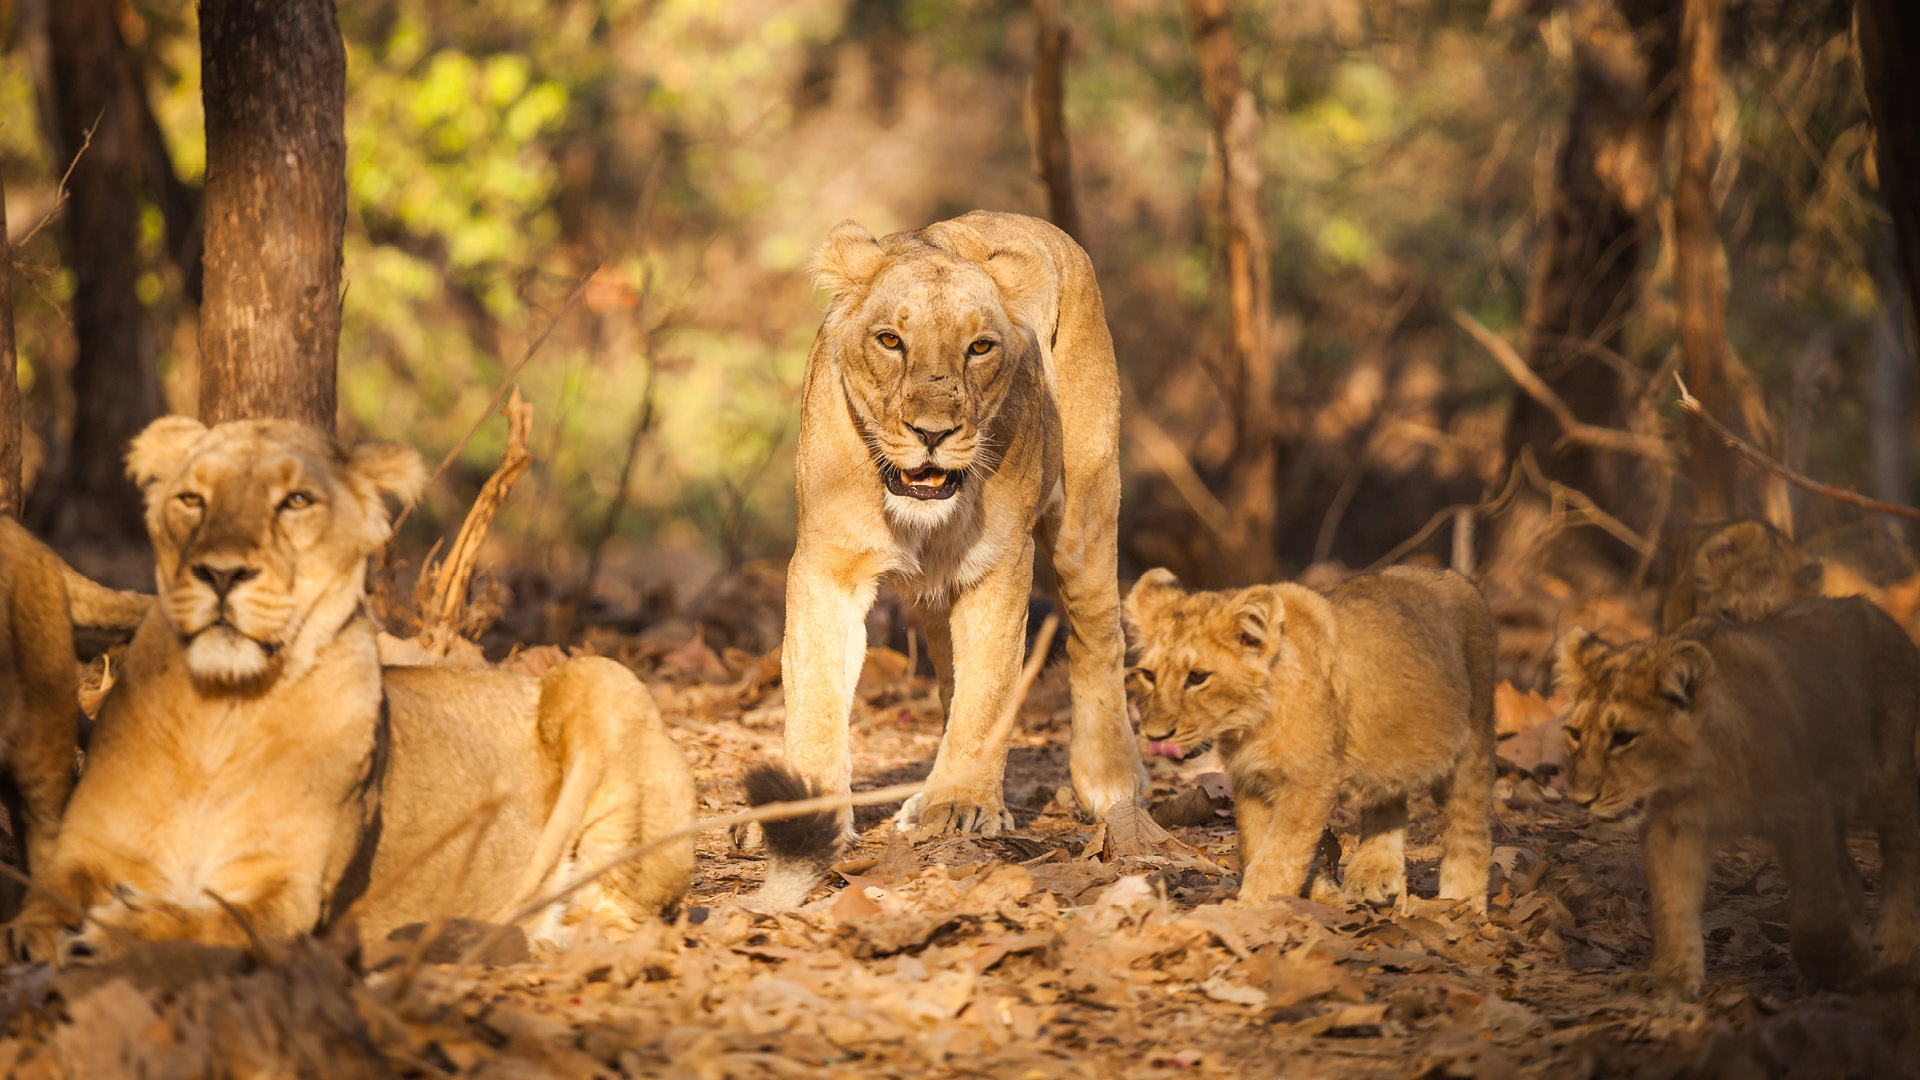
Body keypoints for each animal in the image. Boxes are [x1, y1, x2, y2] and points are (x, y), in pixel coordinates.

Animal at [7, 416, 694, 965]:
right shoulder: (86, 851)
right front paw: (40, 933)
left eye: (296, 501)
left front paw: (114, 932)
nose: (220, 573)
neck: (220, 714)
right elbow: (46, 892)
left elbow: (220, 923)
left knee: (620, 915)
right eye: (191, 499)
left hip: (600, 675)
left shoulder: (291, 895)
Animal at [768, 211, 1145, 887]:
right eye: (890, 340)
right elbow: (814, 692)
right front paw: (808, 815)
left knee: (1097, 635)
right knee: (948, 676)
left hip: (1086, 512)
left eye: (980, 347)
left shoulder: (1000, 565)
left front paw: (963, 805)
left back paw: (1110, 781)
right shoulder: (827, 566)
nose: (933, 433)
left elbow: (988, 691)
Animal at [1124, 565, 1496, 910]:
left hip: (1473, 741)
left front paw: (1254, 908)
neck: (1249, 725)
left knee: (1470, 828)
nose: (1155, 735)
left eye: (1198, 677)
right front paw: (1316, 892)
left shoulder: (1310, 779)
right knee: (1387, 796)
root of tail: (1457, 576)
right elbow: (1255, 844)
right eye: (1148, 675)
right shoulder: (1251, 780)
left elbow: (1278, 854)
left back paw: (1463, 901)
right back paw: (1373, 874)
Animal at [1557, 598, 1920, 999]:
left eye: (1623, 737)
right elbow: (1671, 903)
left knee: (1904, 848)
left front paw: (1848, 967)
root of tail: (1871, 607)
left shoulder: (1803, 808)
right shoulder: (1671, 825)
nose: (1581, 799)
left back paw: (1896, 952)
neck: (1699, 778)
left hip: (1887, 774)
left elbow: (1817, 908)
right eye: (1575, 733)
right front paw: (1670, 978)